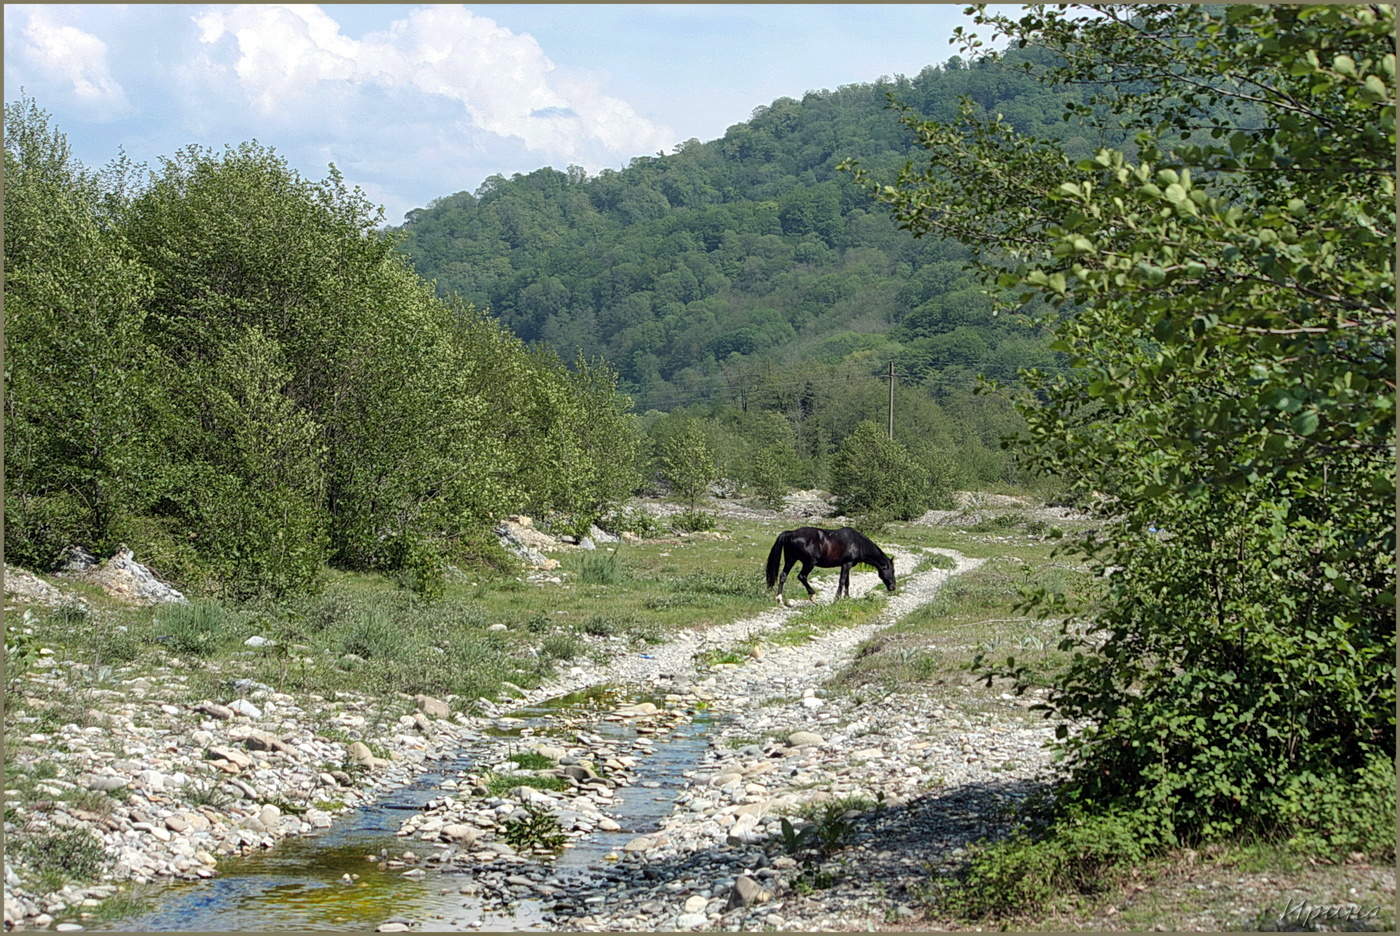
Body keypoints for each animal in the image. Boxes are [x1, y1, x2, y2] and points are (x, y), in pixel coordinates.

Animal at [767, 526, 896, 607]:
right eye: (892, 571)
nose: (893, 587)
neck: (857, 543)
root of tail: (791, 533)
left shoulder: (847, 565)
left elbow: (847, 582)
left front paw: (847, 598)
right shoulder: (846, 564)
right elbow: (842, 581)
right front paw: (837, 599)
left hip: (791, 559)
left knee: (783, 576)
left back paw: (779, 599)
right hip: (809, 563)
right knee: (802, 576)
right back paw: (813, 596)